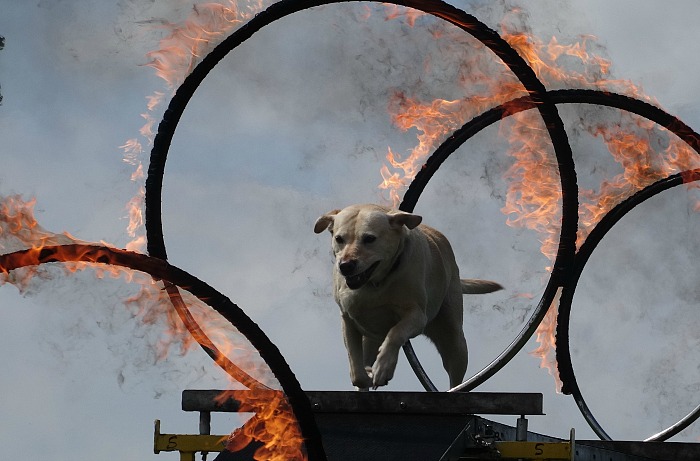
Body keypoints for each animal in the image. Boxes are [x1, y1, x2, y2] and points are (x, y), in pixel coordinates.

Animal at [314, 205, 500, 388]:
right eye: (339, 239)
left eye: (369, 238)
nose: (346, 265)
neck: (375, 284)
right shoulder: (348, 319)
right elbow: (356, 367)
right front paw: (366, 374)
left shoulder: (417, 316)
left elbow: (396, 332)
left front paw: (383, 368)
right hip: (371, 338)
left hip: (454, 341)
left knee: (455, 375)